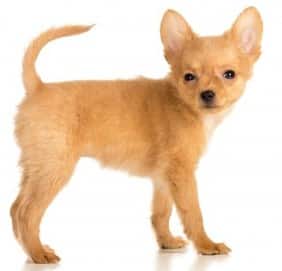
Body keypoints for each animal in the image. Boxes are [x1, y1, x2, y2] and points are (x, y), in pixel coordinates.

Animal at [10, 6, 262, 264]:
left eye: (229, 74)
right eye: (189, 77)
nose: (207, 94)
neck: (183, 105)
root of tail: (38, 87)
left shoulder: (163, 177)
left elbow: (161, 213)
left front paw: (166, 242)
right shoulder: (182, 172)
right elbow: (192, 212)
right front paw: (206, 244)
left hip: (36, 167)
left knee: (15, 207)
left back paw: (31, 249)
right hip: (54, 168)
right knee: (27, 212)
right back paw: (39, 253)